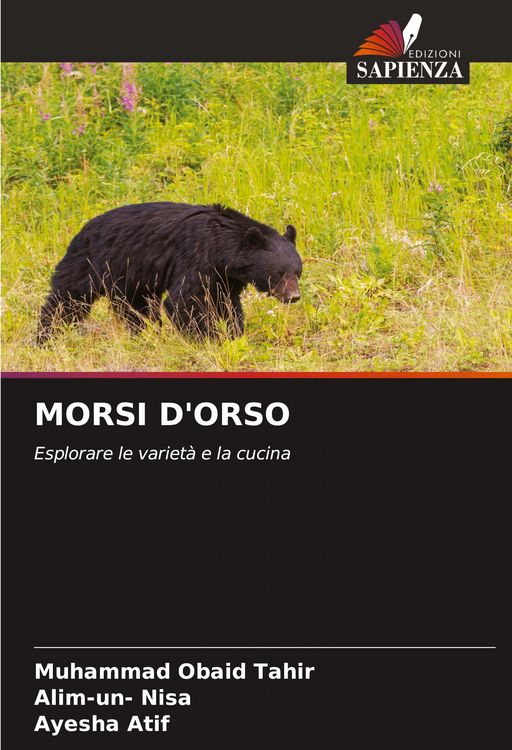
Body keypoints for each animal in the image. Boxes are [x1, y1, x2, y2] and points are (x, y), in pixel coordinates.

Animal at [37, 202, 302, 343]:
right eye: (278, 273)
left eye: (297, 272)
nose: (294, 297)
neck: (221, 246)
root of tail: (81, 229)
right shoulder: (195, 257)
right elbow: (184, 301)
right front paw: (207, 338)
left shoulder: (225, 277)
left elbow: (227, 304)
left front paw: (233, 333)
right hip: (90, 263)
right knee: (66, 300)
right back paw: (44, 336)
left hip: (131, 279)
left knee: (135, 308)